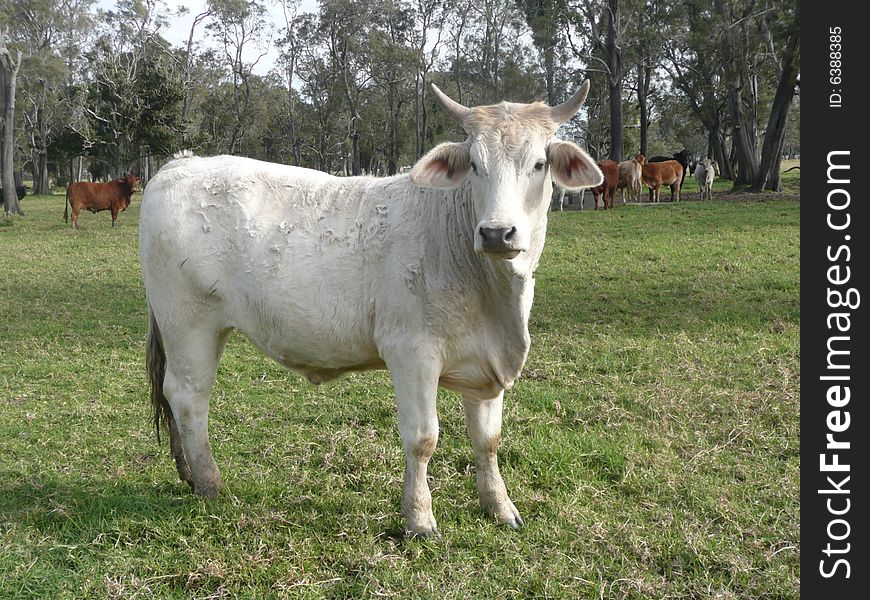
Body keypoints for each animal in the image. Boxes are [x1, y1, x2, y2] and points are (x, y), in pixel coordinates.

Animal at [141, 79, 608, 536]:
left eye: (539, 164)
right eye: (475, 165)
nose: (496, 232)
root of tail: (180, 163)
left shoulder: (486, 366)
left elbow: (487, 440)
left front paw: (499, 506)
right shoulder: (411, 352)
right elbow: (423, 438)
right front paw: (419, 518)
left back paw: (187, 473)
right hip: (189, 324)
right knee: (188, 396)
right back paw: (209, 483)